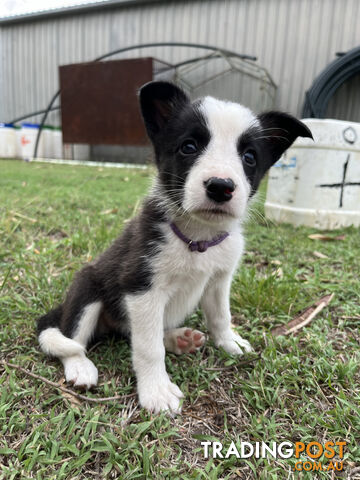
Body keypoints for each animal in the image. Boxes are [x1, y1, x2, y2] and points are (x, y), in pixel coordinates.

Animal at [37, 82, 312, 412]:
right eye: (189, 147)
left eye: (249, 156)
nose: (220, 186)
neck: (199, 237)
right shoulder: (141, 288)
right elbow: (148, 348)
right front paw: (156, 391)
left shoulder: (219, 280)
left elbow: (221, 316)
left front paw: (229, 341)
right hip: (87, 289)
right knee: (72, 340)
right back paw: (80, 366)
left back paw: (177, 339)